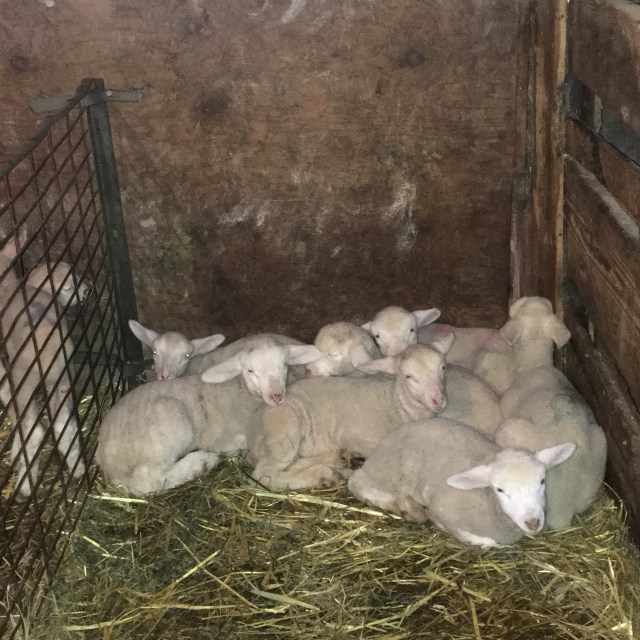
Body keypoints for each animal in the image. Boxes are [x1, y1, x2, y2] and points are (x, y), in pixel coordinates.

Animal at [0, 232, 84, 500]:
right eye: (69, 284)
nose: (88, 289)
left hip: (25, 384)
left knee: (33, 430)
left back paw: (24, 486)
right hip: (63, 379)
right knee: (63, 423)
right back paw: (78, 468)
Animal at [96, 336, 320, 496]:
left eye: (284, 365)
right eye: (250, 370)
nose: (276, 395)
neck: (243, 390)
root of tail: (106, 456)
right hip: (168, 421)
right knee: (149, 480)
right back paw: (201, 463)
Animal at [249, 335, 502, 491]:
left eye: (442, 367)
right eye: (409, 376)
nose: (438, 400)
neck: (397, 405)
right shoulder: (357, 434)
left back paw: (338, 460)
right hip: (285, 427)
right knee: (264, 474)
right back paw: (322, 475)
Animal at [348, 418, 576, 547]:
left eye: (542, 481)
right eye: (500, 489)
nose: (533, 522)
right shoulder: (442, 510)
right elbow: (484, 540)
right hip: (392, 470)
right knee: (358, 483)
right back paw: (408, 508)